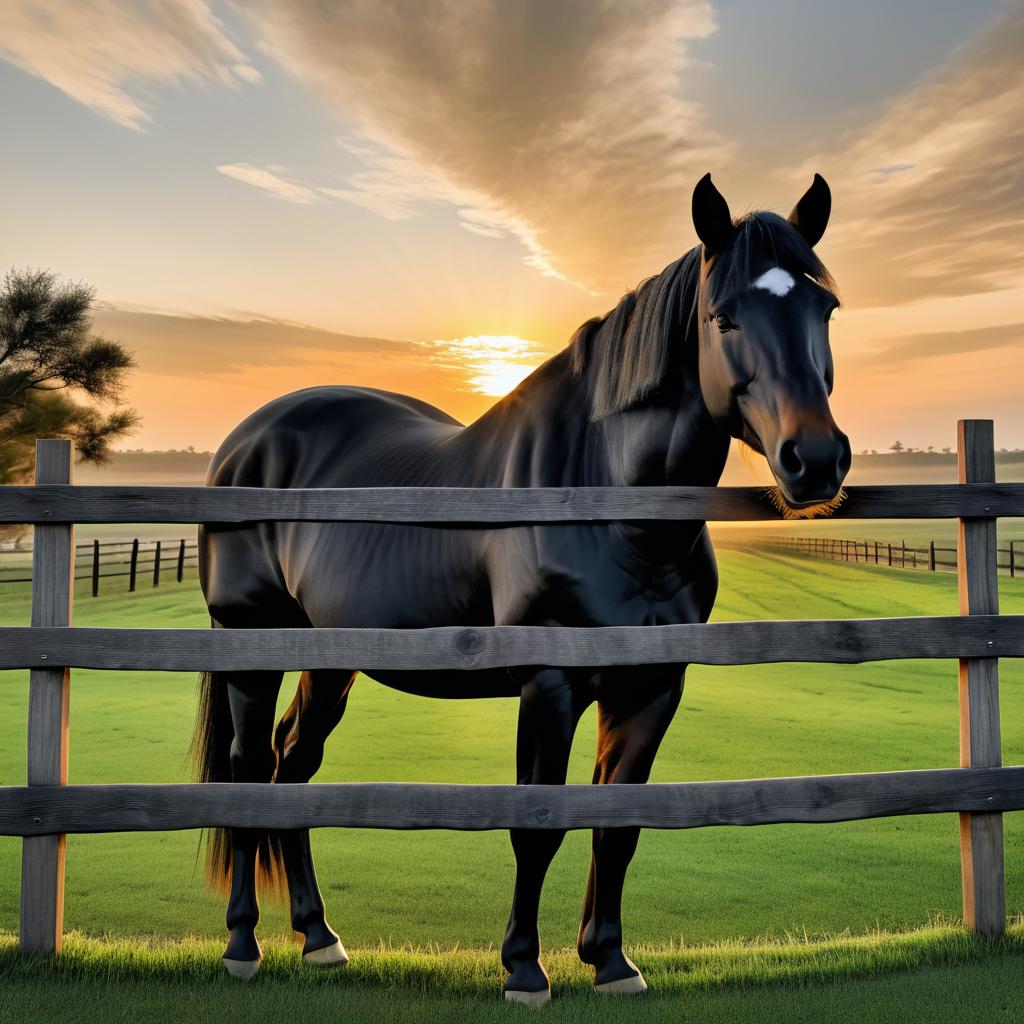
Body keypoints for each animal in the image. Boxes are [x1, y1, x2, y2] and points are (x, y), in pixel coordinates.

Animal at [190, 174, 847, 999]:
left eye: (825, 307)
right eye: (722, 316)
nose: (814, 460)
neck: (606, 499)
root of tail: (245, 443)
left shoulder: (653, 686)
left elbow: (618, 826)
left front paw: (611, 960)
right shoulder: (550, 685)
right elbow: (537, 826)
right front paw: (525, 968)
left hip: (330, 657)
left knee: (293, 763)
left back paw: (318, 936)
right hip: (253, 645)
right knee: (249, 770)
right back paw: (242, 943)